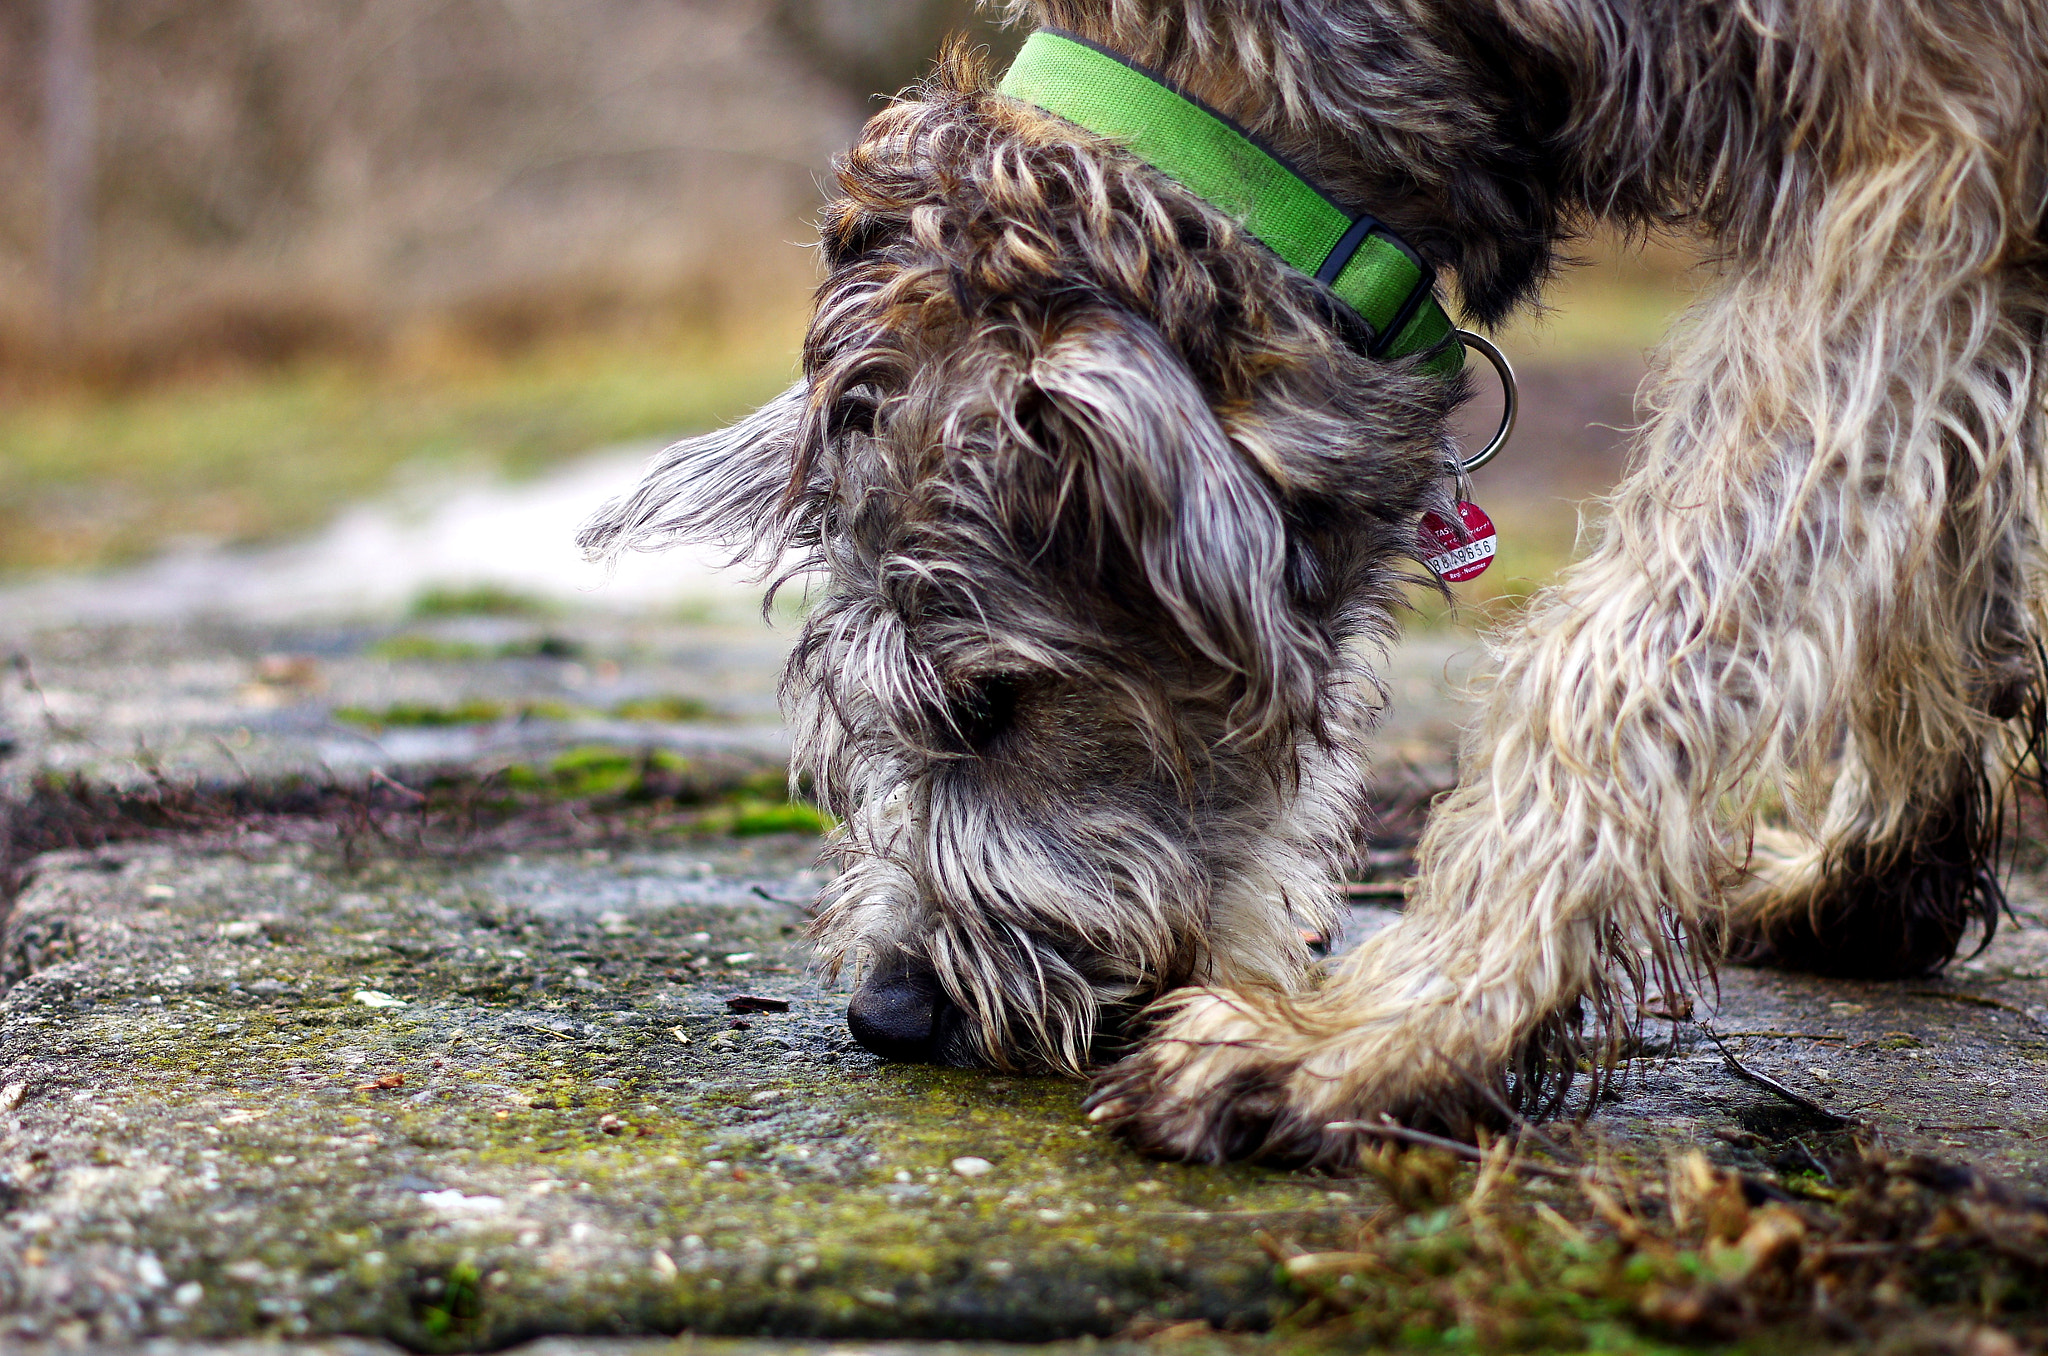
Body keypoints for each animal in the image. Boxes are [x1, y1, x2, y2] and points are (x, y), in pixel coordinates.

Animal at [577, 0, 2048, 1171]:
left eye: (991, 704)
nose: (885, 1015)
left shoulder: (1917, 159)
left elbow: (1637, 633)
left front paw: (1381, 1038)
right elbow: (1945, 523)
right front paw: (1879, 874)